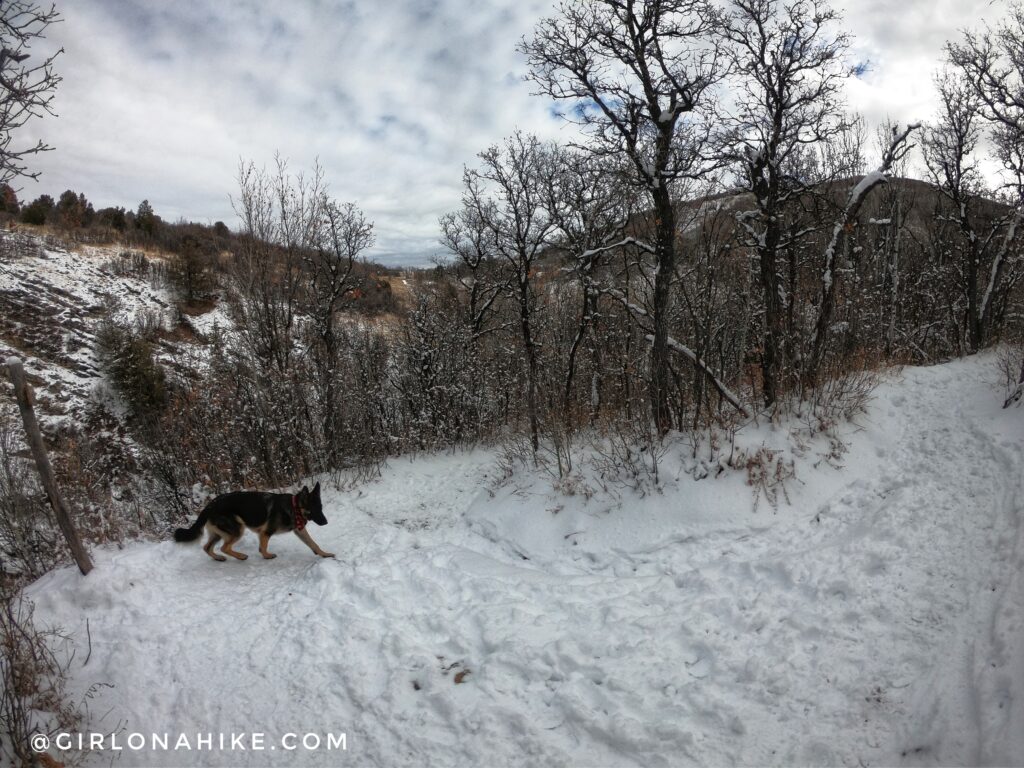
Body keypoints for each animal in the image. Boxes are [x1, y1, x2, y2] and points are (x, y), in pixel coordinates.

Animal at [173, 483, 335, 561]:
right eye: (314, 510)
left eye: (321, 508)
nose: (326, 522)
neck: (294, 507)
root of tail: (209, 505)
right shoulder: (265, 533)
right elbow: (263, 548)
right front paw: (267, 556)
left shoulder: (299, 530)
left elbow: (313, 544)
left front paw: (324, 554)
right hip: (237, 530)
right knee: (224, 547)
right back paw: (240, 556)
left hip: (219, 533)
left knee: (207, 547)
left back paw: (218, 558)